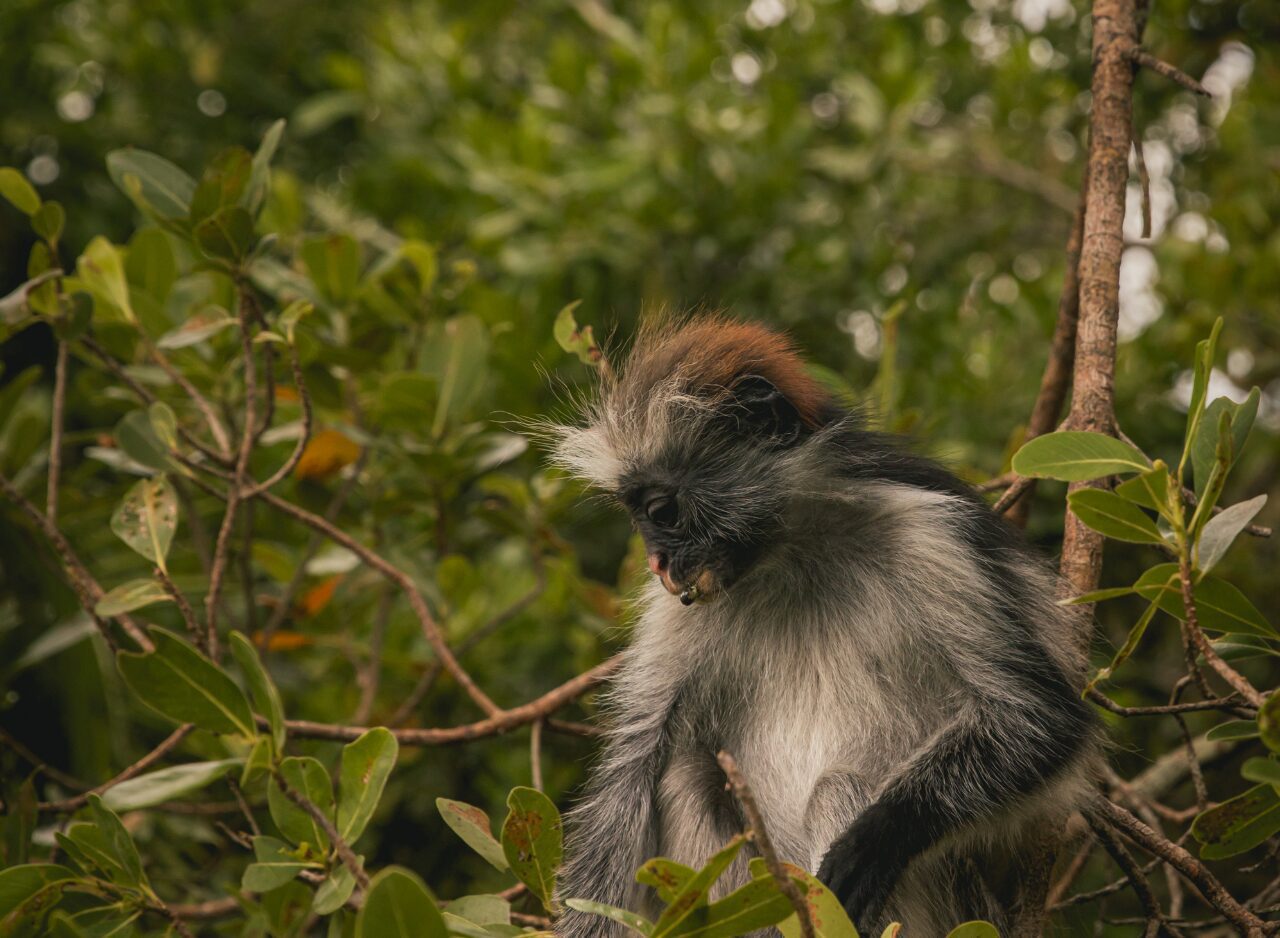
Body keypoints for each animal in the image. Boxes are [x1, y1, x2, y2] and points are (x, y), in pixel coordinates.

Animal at [546, 316, 1098, 936]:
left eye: (661, 511)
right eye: (637, 516)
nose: (658, 564)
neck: (793, 552)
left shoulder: (935, 534)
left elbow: (1041, 720)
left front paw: (874, 841)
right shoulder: (681, 604)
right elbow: (635, 763)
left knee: (836, 787)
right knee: (684, 774)